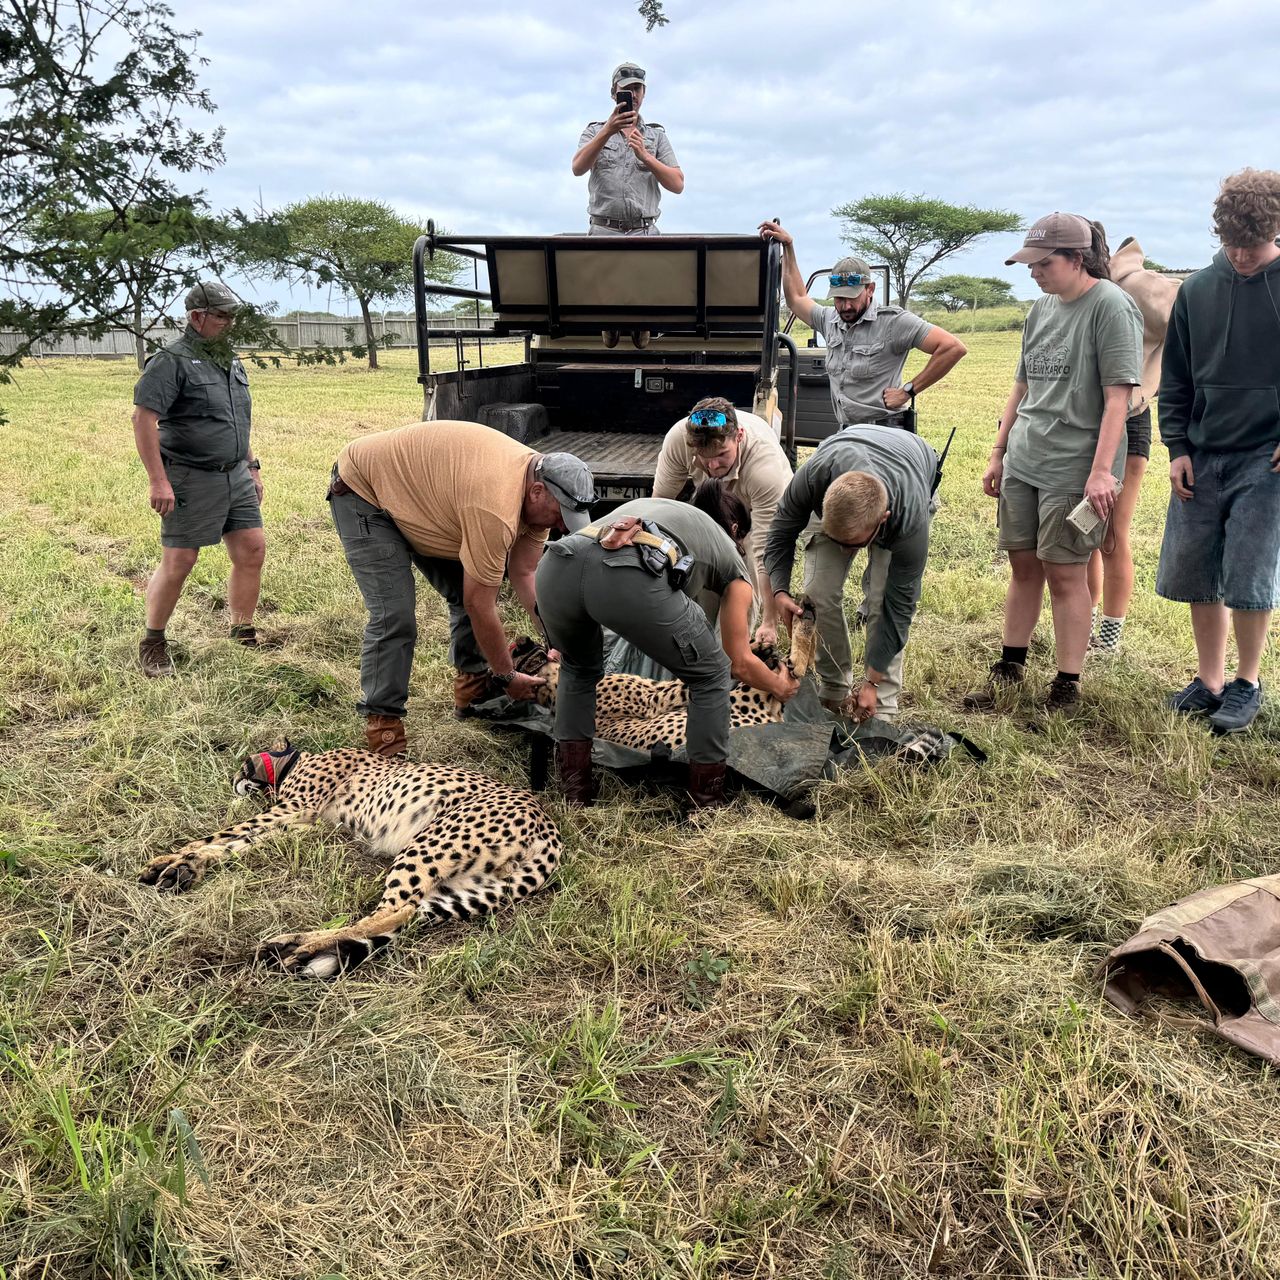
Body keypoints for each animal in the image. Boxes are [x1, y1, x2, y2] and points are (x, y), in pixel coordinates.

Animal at [139, 744, 561, 979]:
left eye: (245, 762)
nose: (234, 777)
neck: (292, 761)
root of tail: (549, 826)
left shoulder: (295, 810)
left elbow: (226, 833)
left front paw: (173, 857)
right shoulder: (308, 826)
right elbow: (239, 843)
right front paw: (185, 865)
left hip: (427, 846)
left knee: (392, 911)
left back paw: (295, 948)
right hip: (467, 882)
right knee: (408, 915)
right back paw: (295, 945)